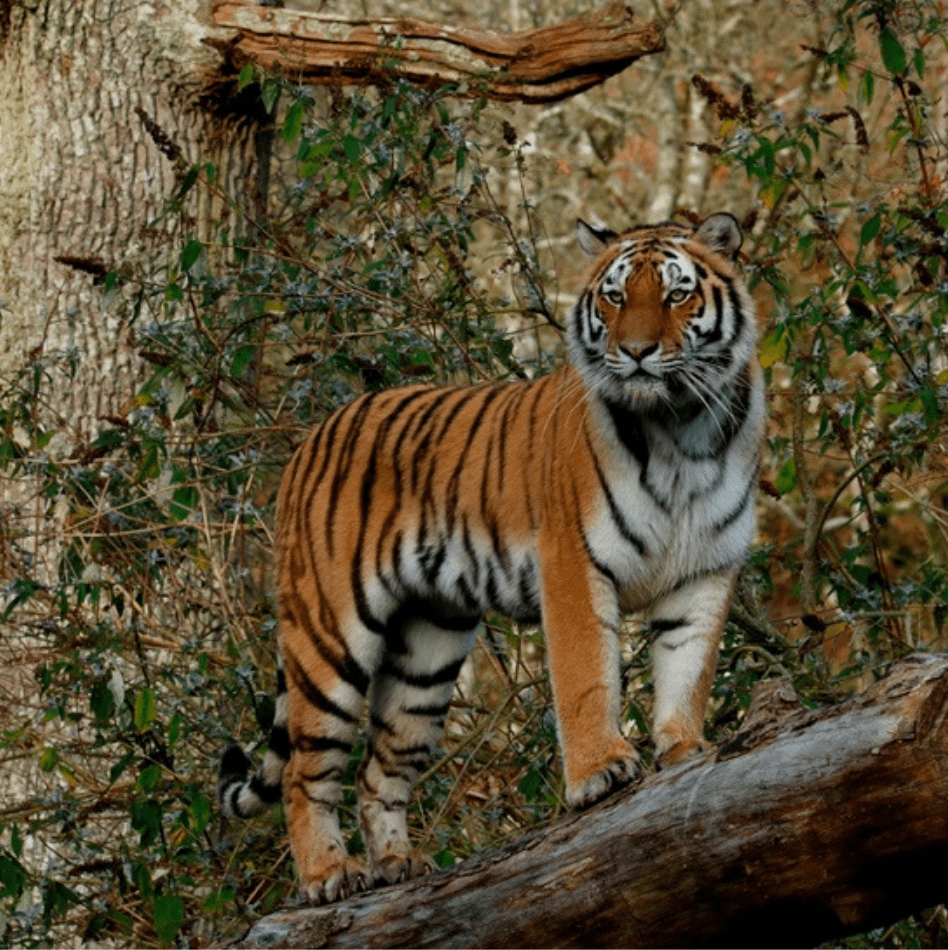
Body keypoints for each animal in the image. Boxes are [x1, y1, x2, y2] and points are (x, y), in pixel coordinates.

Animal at [217, 214, 764, 908]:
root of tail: (310, 438)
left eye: (675, 296)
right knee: (303, 771)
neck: (681, 429)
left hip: (427, 652)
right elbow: (587, 678)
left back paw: (397, 865)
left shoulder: (704, 572)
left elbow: (688, 670)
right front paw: (600, 772)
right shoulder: (575, 564)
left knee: (378, 769)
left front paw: (686, 748)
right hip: (329, 638)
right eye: (615, 298)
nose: (637, 351)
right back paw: (328, 876)